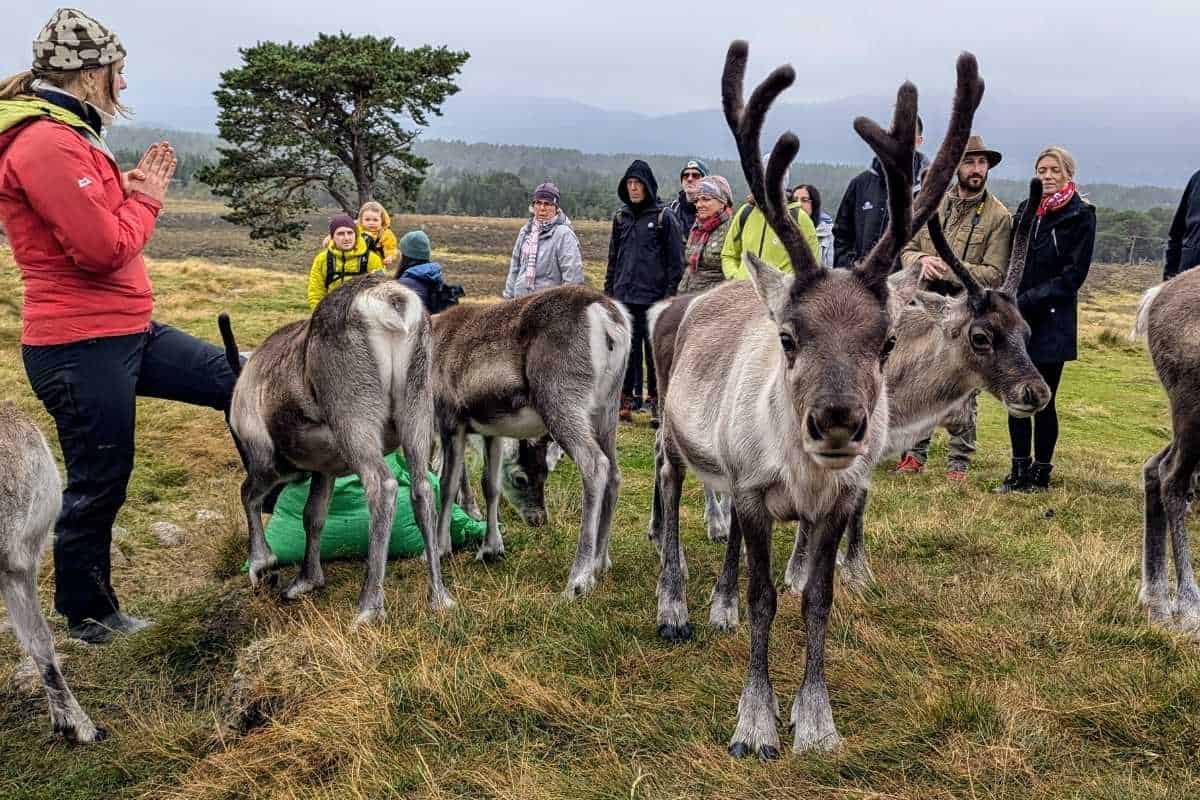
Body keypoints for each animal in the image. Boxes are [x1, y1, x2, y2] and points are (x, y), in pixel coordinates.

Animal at [220, 272, 453, 628]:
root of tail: (391, 301)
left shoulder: (266, 460)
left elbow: (247, 495)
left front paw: (262, 564)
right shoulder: (325, 469)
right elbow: (313, 516)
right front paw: (307, 579)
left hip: (353, 419)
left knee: (383, 485)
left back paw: (369, 605)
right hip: (417, 409)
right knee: (422, 488)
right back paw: (438, 596)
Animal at [429, 285, 631, 597]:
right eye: (523, 478)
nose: (539, 520)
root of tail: (608, 317)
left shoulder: (450, 419)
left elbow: (447, 484)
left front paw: (441, 548)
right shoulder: (491, 430)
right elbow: (490, 485)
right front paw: (491, 548)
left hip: (560, 399)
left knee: (595, 465)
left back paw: (579, 579)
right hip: (606, 410)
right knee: (615, 473)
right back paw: (600, 561)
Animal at [651, 40, 984, 757]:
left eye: (887, 341)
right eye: (788, 336)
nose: (837, 421)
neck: (801, 473)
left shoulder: (834, 506)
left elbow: (816, 600)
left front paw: (816, 720)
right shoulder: (752, 493)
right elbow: (763, 601)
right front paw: (754, 723)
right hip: (671, 435)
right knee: (669, 505)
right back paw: (674, 607)